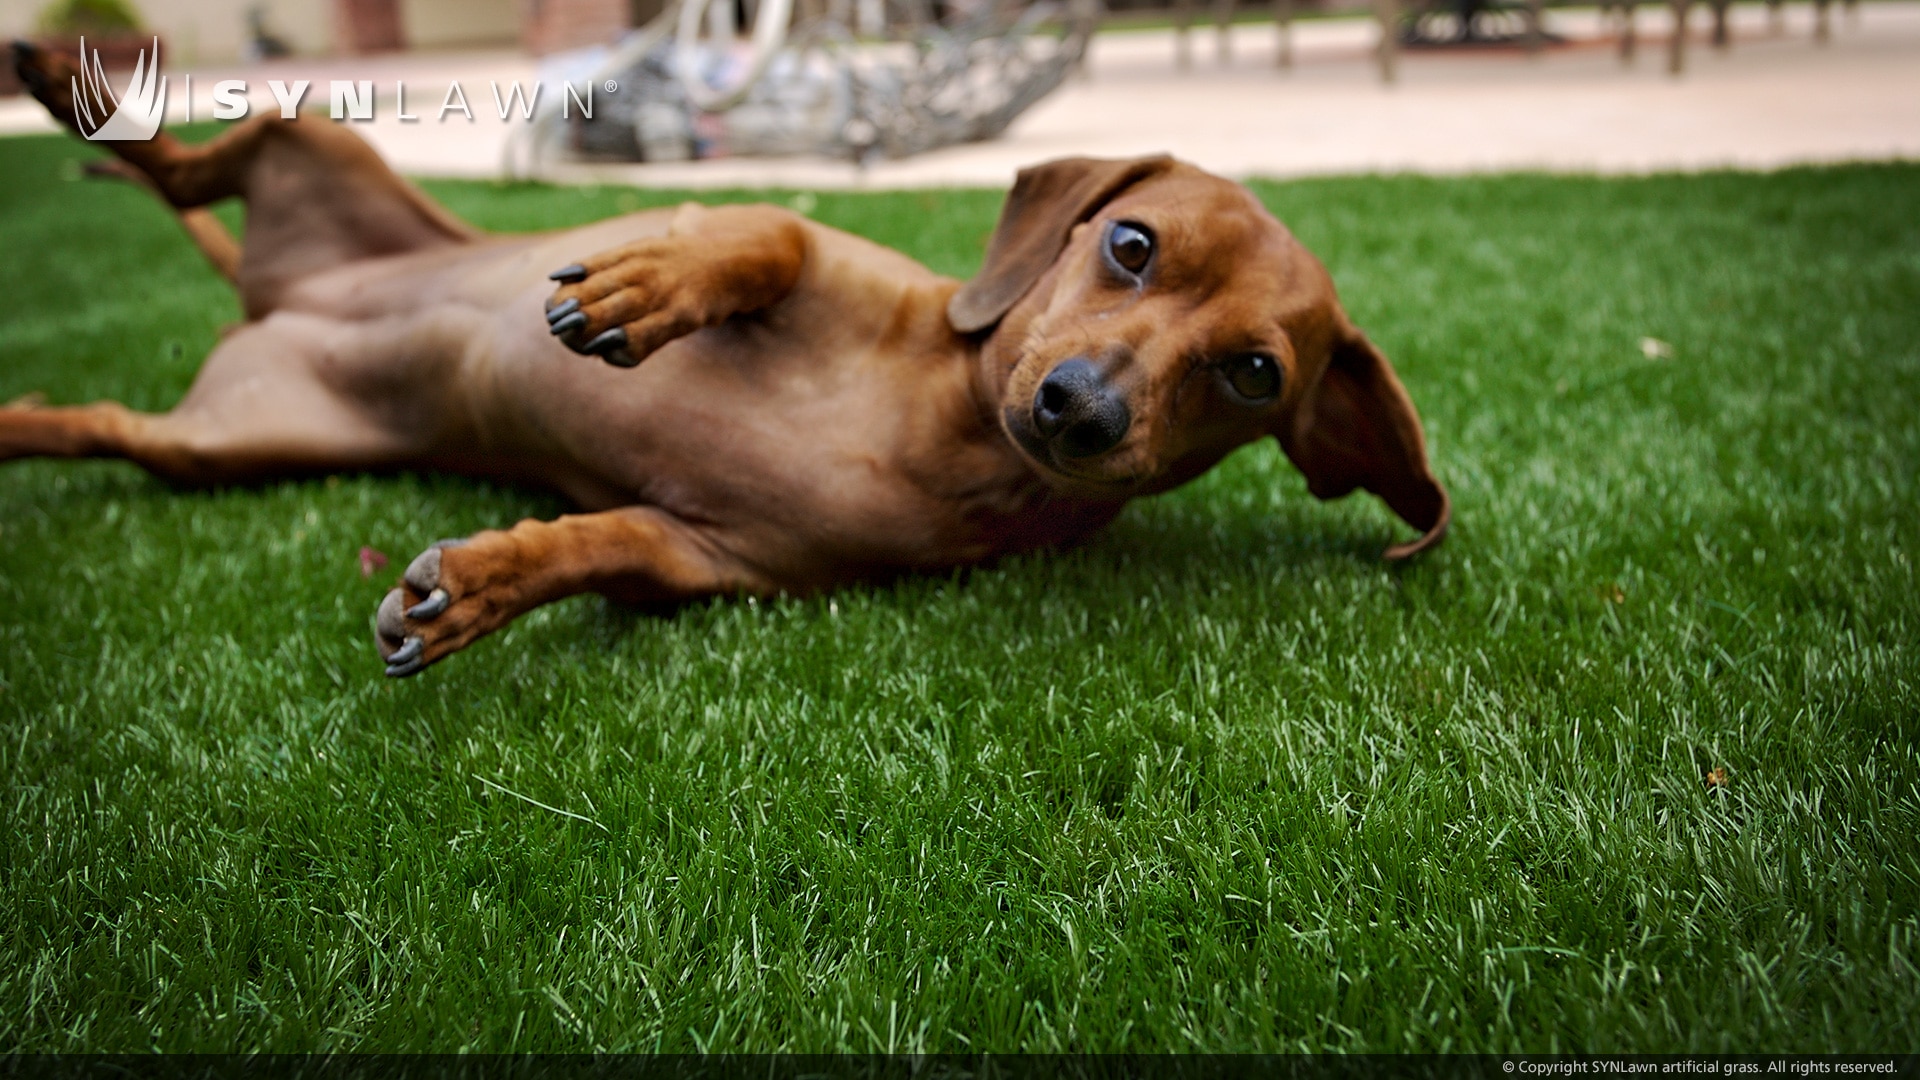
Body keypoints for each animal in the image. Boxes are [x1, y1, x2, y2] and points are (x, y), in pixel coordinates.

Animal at [0, 48, 1443, 680]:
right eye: (1131, 243)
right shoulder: (805, 247)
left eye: (1253, 374)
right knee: (188, 155)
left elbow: (600, 547)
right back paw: (65, 70)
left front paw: (481, 585)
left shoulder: (703, 557)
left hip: (221, 448)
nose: (1079, 410)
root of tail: (278, 296)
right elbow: (759, 234)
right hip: (322, 144)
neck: (937, 429)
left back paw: (23, 415)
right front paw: (651, 285)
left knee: (99, 420)